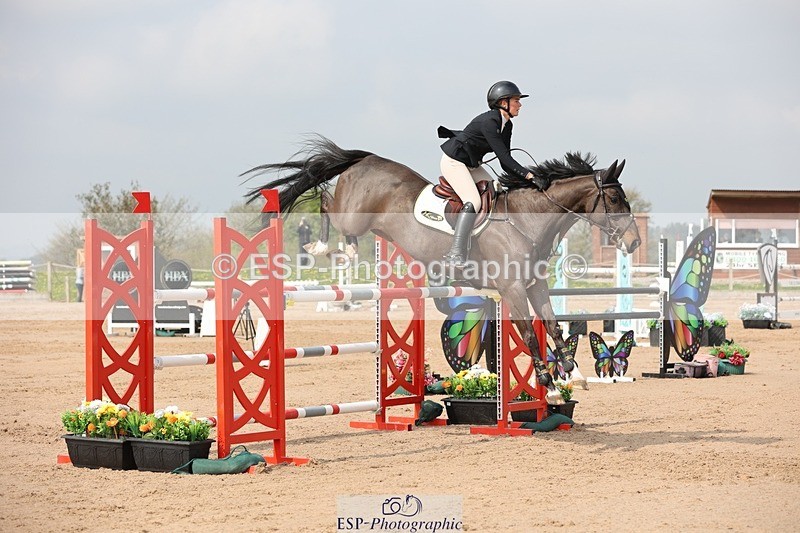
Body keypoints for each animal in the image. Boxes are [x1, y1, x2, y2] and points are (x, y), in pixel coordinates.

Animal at [243, 136, 641, 404]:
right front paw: (552, 389)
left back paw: (346, 250)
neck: (526, 219)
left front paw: (575, 374)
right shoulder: (512, 289)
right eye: (615, 199)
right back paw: (322, 247)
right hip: (352, 213)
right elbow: (530, 336)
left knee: (334, 210)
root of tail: (367, 158)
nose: (634, 242)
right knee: (325, 201)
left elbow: (554, 327)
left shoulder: (534, 285)